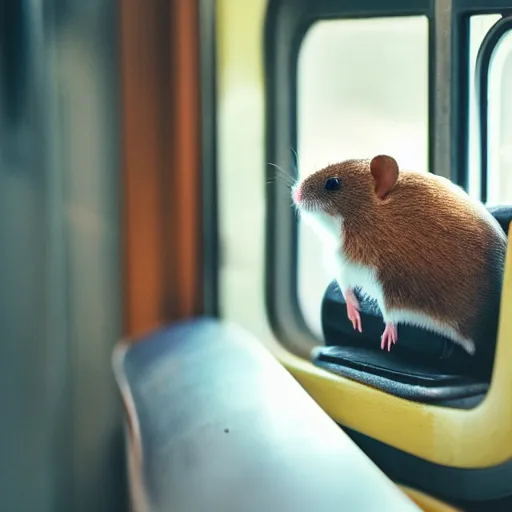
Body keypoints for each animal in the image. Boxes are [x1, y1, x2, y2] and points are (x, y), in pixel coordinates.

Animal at [292, 155, 508, 356]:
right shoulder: (346, 264)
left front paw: (383, 335)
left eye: (332, 183)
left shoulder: (379, 281)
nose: (296, 192)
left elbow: (383, 311)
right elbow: (346, 289)